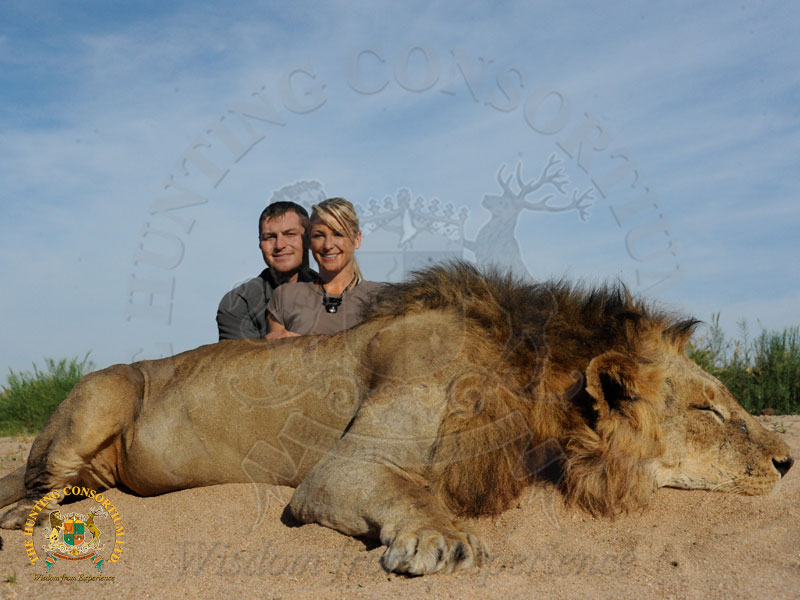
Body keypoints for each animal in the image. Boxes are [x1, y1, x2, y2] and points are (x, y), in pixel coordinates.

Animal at [0, 262, 793, 575]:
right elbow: (406, 488)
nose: (788, 462)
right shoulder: (341, 469)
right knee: (42, 478)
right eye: (706, 408)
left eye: (725, 398)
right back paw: (28, 513)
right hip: (102, 391)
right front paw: (442, 541)